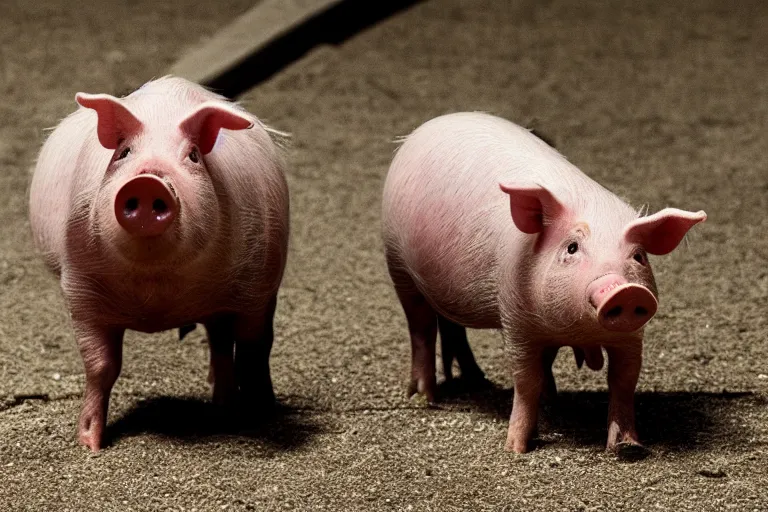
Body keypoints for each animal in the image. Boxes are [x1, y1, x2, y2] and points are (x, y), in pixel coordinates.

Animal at [28, 76, 290, 452]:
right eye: (123, 154)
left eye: (193, 156)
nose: (147, 182)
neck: (156, 290)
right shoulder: (80, 288)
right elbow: (100, 366)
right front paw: (90, 444)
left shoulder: (256, 284)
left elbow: (252, 352)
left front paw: (260, 419)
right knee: (219, 341)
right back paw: (222, 406)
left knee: (235, 345)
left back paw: (230, 410)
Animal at [384, 113, 708, 456]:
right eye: (572, 248)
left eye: (638, 256)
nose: (626, 290)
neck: (580, 330)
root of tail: (432, 124)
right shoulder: (515, 317)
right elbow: (526, 380)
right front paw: (516, 448)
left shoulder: (631, 335)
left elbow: (624, 380)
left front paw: (628, 447)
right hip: (397, 264)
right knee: (420, 328)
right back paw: (425, 397)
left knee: (451, 326)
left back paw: (481, 381)